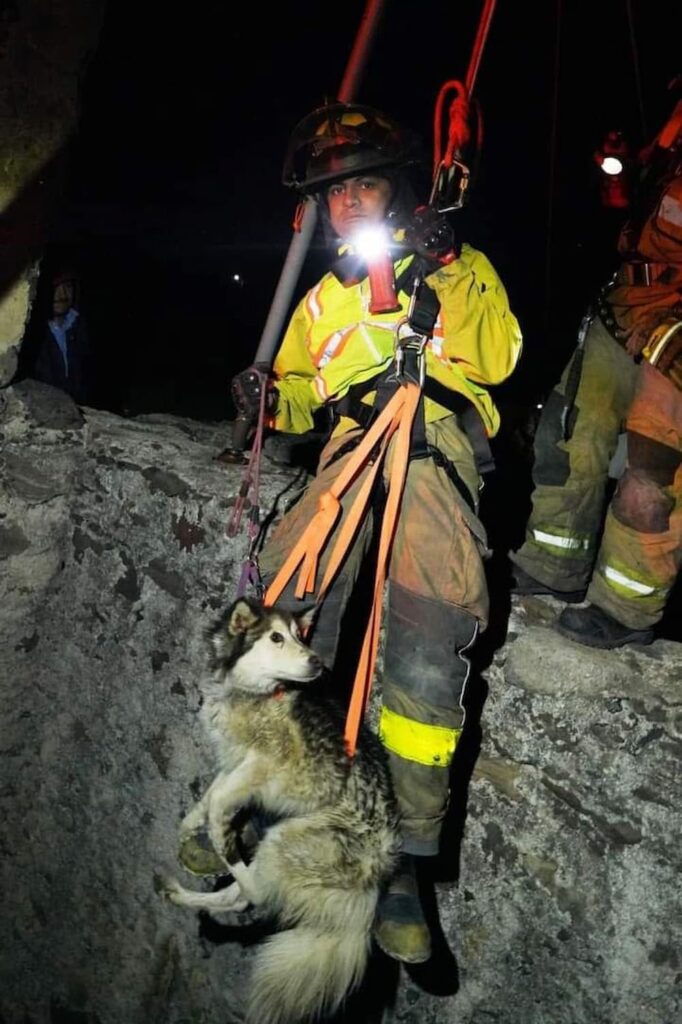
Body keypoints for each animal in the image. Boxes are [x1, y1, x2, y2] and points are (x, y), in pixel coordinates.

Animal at [155, 598, 395, 1024]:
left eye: (301, 636)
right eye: (277, 638)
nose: (318, 662)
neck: (251, 693)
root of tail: (377, 872)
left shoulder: (261, 766)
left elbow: (218, 802)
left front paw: (218, 834)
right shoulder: (234, 764)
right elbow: (207, 799)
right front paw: (191, 829)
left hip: (285, 840)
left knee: (252, 895)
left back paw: (231, 862)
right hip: (285, 853)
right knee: (237, 899)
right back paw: (181, 893)